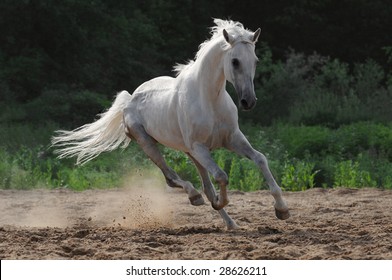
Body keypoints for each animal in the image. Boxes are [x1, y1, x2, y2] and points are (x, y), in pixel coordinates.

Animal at [52, 19, 290, 230]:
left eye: (256, 61)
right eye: (235, 61)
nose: (249, 101)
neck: (209, 99)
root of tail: (130, 100)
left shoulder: (232, 139)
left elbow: (260, 159)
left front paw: (282, 210)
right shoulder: (199, 147)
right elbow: (222, 175)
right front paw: (221, 201)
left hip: (189, 153)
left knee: (206, 187)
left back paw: (230, 223)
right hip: (150, 144)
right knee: (172, 177)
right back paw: (195, 197)